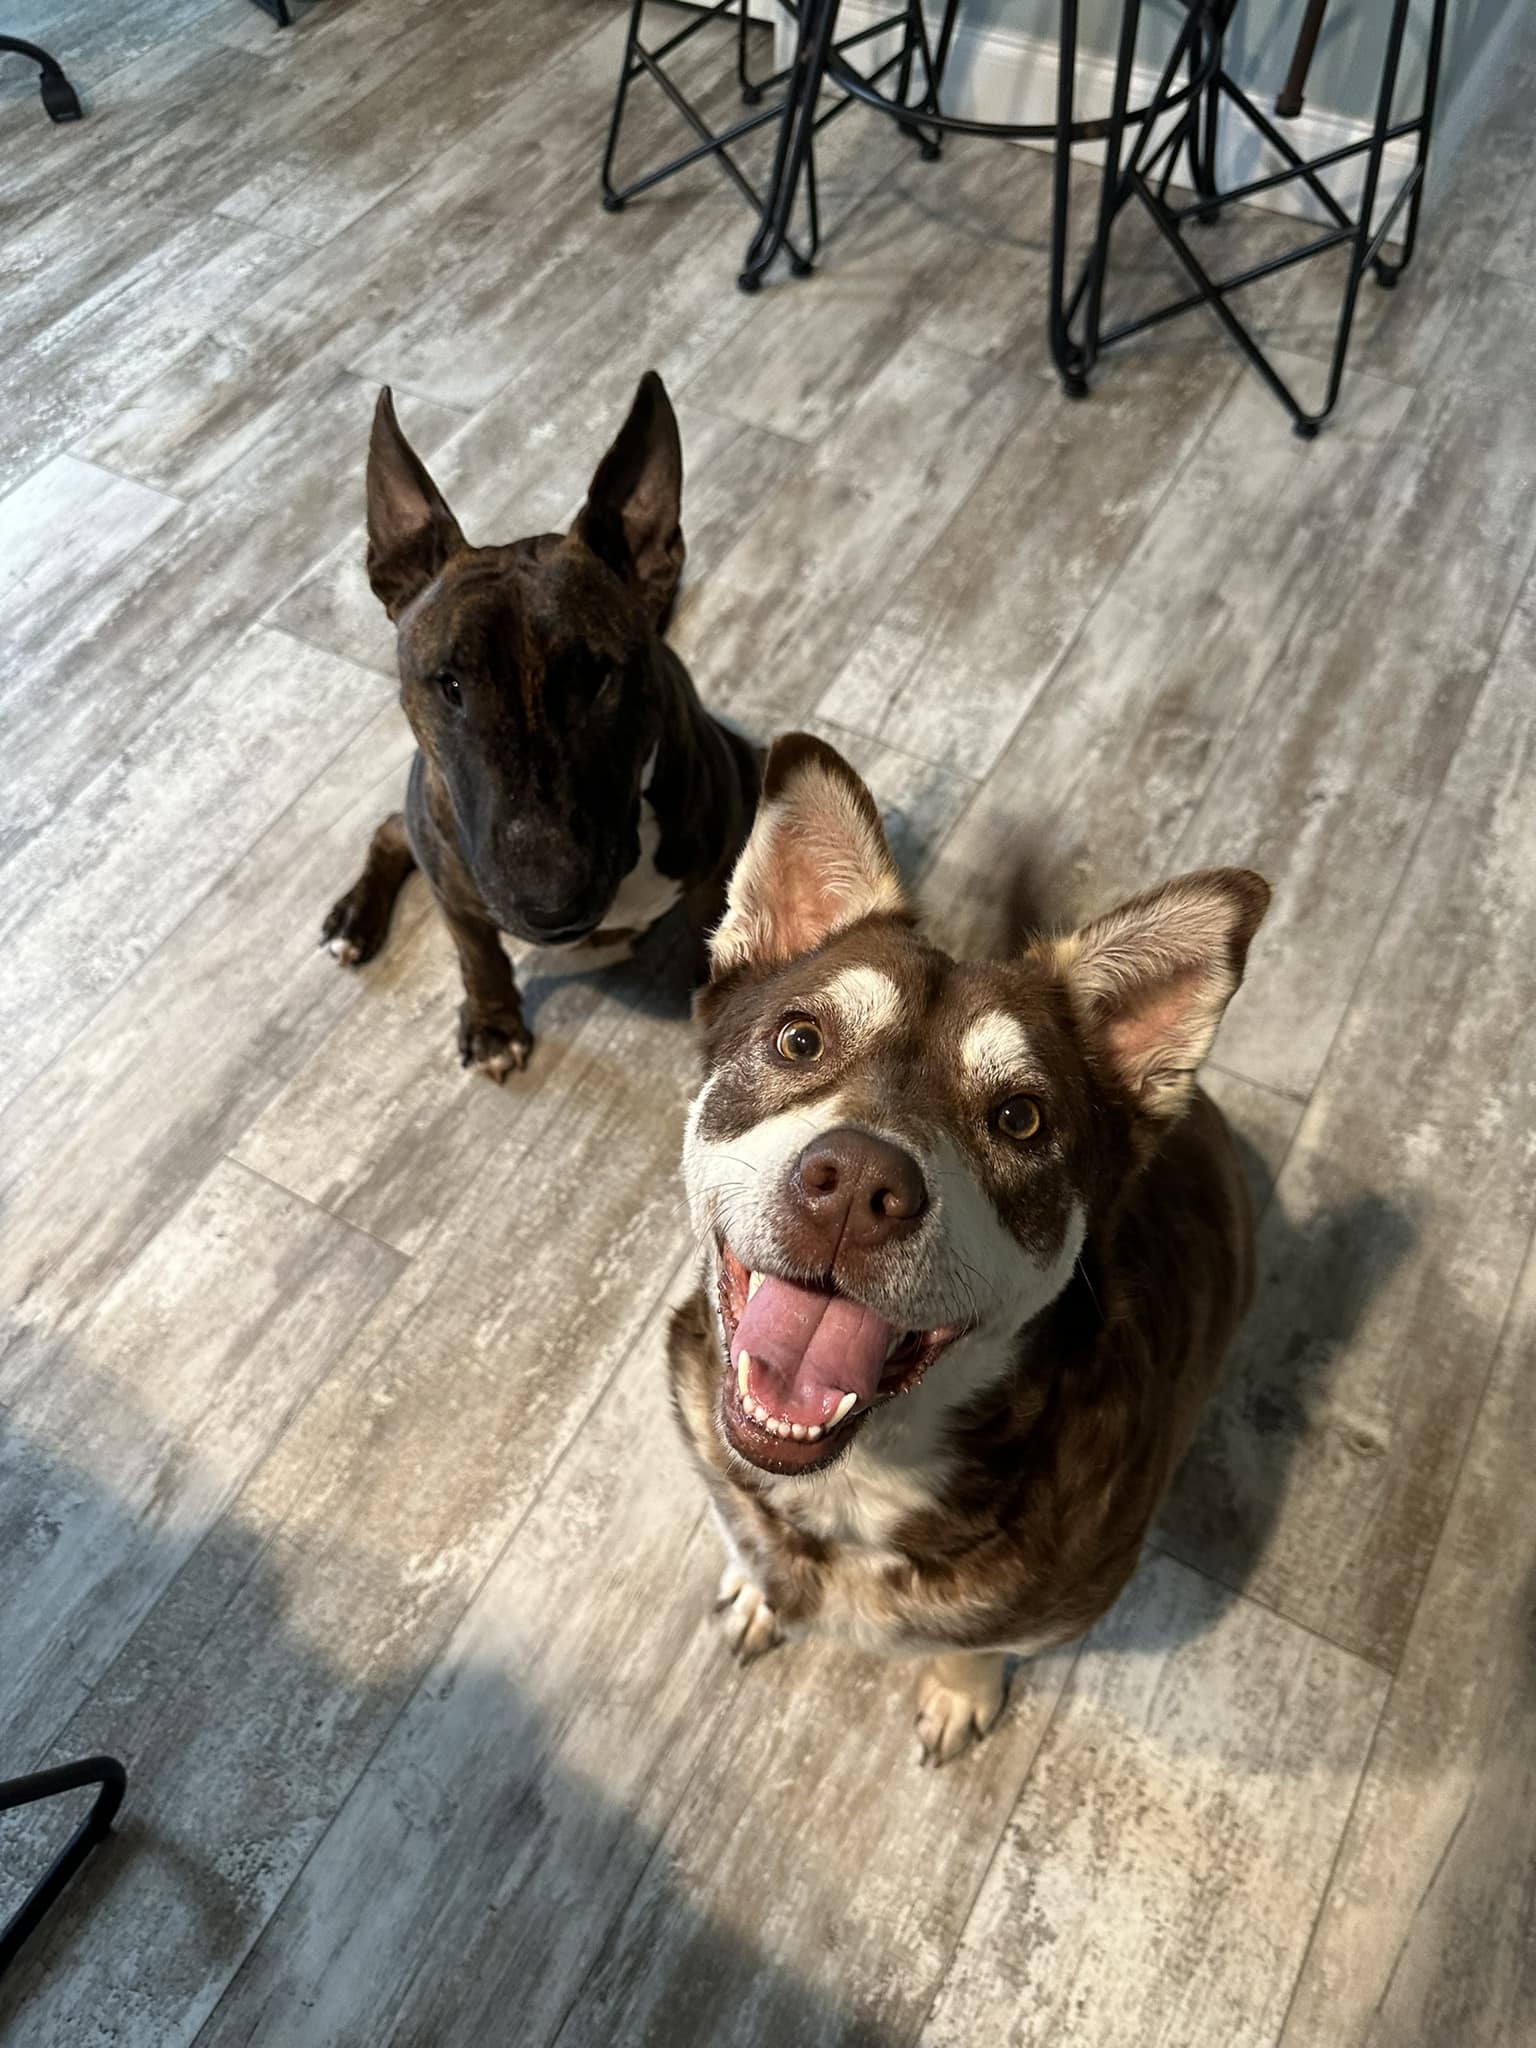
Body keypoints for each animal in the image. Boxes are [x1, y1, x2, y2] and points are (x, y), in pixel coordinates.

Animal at [671, 733, 1277, 1761]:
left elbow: (985, 1643)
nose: (857, 1186)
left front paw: (959, 1689)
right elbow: (738, 1526)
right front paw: (757, 1586)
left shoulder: (1068, 1594)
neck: (854, 1487)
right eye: (800, 1039)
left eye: (1021, 1118)